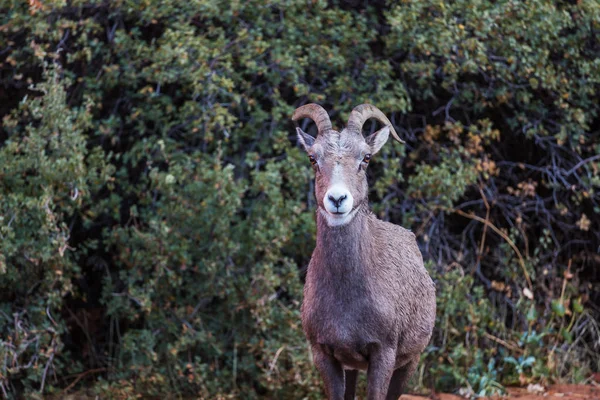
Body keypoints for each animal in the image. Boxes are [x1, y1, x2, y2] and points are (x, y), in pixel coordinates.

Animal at [292, 104, 434, 400]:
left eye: (365, 158)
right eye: (313, 158)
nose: (337, 199)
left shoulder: (383, 353)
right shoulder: (325, 355)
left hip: (410, 362)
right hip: (352, 368)